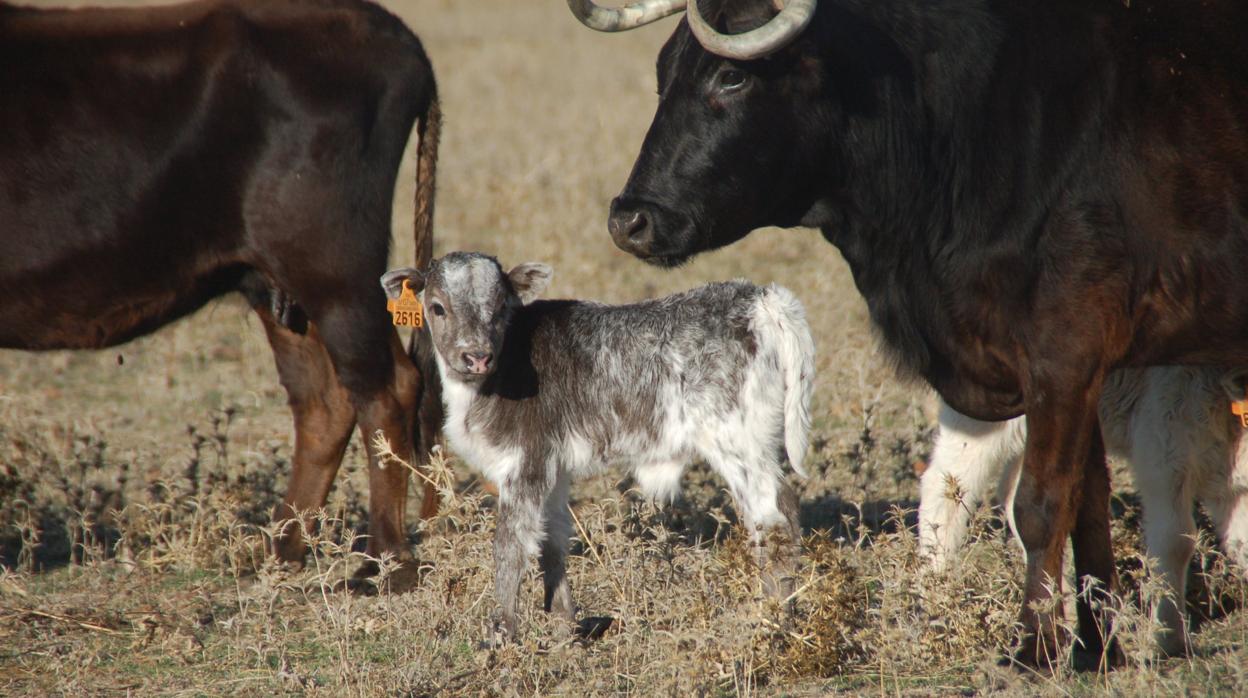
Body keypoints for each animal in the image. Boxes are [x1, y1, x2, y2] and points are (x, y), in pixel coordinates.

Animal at [1, 0, 444, 586]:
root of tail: (390, 28)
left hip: (337, 277)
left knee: (386, 389)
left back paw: (385, 563)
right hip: (279, 287)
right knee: (325, 401)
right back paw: (282, 552)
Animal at [384, 253, 823, 644]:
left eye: (500, 307)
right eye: (437, 307)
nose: (475, 356)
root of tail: (762, 297)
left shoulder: (525, 461)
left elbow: (509, 545)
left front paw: (500, 636)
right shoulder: (554, 467)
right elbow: (552, 540)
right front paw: (565, 631)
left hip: (735, 436)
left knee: (773, 521)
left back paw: (772, 625)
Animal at [571, 0, 1248, 674]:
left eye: (730, 78)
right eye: (663, 74)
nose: (629, 220)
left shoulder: (1069, 357)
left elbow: (1047, 506)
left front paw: (1040, 646)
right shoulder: (1071, 372)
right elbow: (1085, 508)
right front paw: (1094, 647)